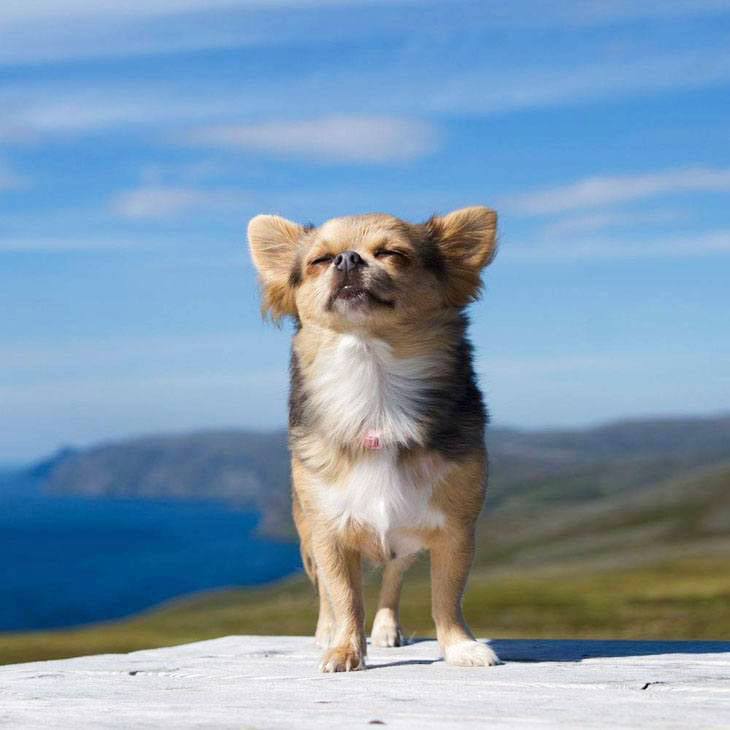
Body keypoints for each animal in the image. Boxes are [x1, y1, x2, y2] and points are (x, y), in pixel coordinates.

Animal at [247, 205, 498, 672]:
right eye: (319, 261)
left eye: (391, 254)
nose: (347, 258)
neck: (374, 389)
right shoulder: (328, 532)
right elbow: (345, 596)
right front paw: (344, 648)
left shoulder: (454, 530)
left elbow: (446, 596)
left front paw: (460, 646)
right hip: (308, 536)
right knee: (328, 595)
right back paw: (327, 632)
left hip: (406, 539)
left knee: (393, 580)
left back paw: (385, 628)